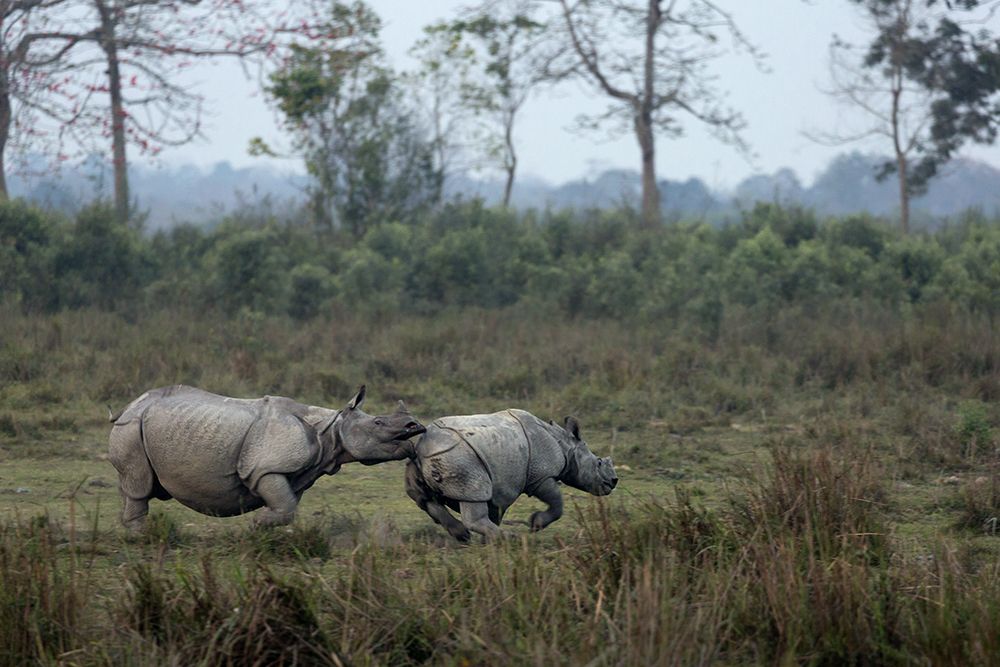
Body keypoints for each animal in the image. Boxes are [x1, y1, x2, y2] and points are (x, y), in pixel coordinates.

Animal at [108, 384, 424, 531]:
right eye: (378, 423)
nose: (415, 426)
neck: (331, 430)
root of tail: (128, 406)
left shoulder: (294, 473)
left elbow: (286, 504)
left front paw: (263, 527)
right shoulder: (265, 468)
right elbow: (284, 506)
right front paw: (256, 525)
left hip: (142, 426)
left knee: (131, 483)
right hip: (131, 427)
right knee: (138, 483)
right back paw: (144, 535)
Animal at [405, 409, 618, 541]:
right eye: (599, 462)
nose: (614, 481)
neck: (565, 444)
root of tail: (422, 446)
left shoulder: (502, 486)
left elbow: (495, 511)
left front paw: (487, 543)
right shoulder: (540, 476)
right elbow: (557, 503)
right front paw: (535, 524)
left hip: (424, 462)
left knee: (423, 498)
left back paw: (463, 536)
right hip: (462, 461)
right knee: (473, 495)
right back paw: (512, 539)